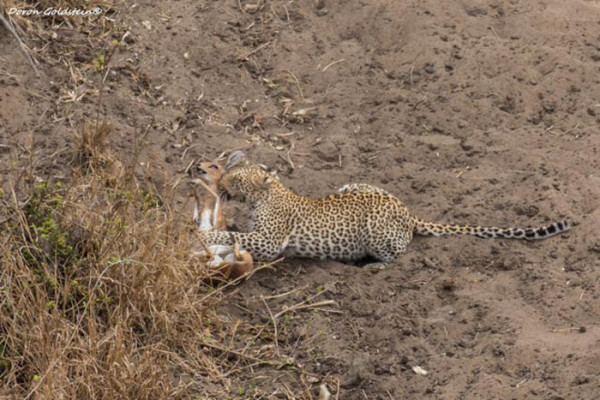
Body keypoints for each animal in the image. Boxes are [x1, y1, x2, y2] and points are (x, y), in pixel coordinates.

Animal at [197, 152, 572, 264]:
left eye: (237, 177)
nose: (220, 180)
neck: (265, 196)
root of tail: (407, 213)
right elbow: (235, 232)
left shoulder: (270, 241)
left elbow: (234, 236)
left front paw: (205, 236)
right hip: (353, 184)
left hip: (377, 234)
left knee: (397, 255)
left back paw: (371, 265)